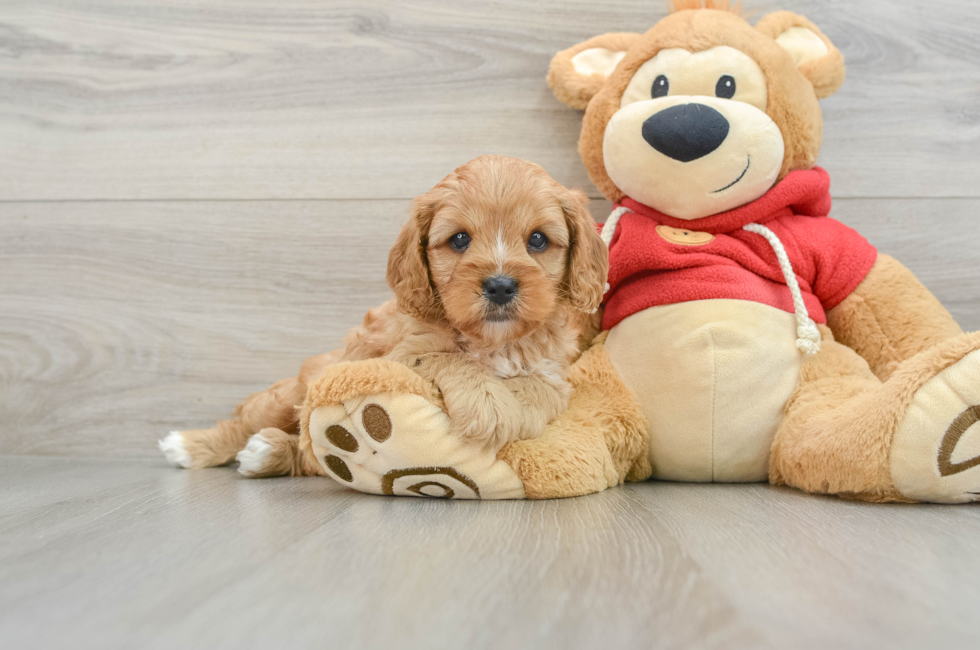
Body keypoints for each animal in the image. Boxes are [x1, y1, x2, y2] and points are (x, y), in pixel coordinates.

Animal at [159, 154, 604, 474]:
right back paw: (192, 446)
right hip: (293, 392)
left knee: (309, 454)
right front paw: (489, 407)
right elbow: (449, 357)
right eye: (459, 239)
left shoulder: (553, 372)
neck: (492, 341)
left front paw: (514, 409)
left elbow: (539, 389)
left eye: (538, 240)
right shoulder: (400, 356)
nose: (499, 285)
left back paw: (268, 452)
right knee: (249, 421)